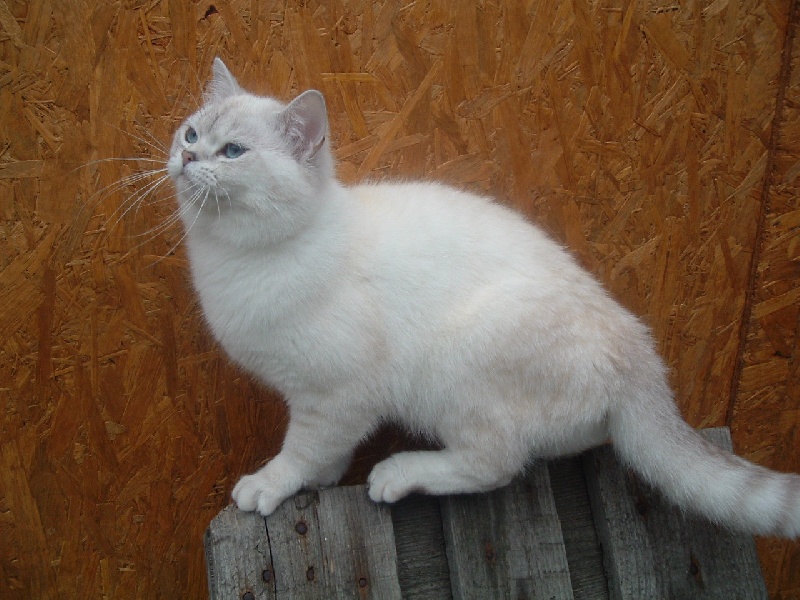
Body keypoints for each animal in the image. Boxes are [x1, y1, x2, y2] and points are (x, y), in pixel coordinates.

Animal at [166, 58, 796, 536]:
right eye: (191, 134)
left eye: (233, 152)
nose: (188, 157)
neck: (231, 258)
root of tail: (639, 352)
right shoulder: (326, 402)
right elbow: (327, 455)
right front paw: (321, 480)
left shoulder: (335, 395)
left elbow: (302, 450)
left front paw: (272, 485)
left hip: (457, 364)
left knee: (496, 462)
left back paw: (400, 473)